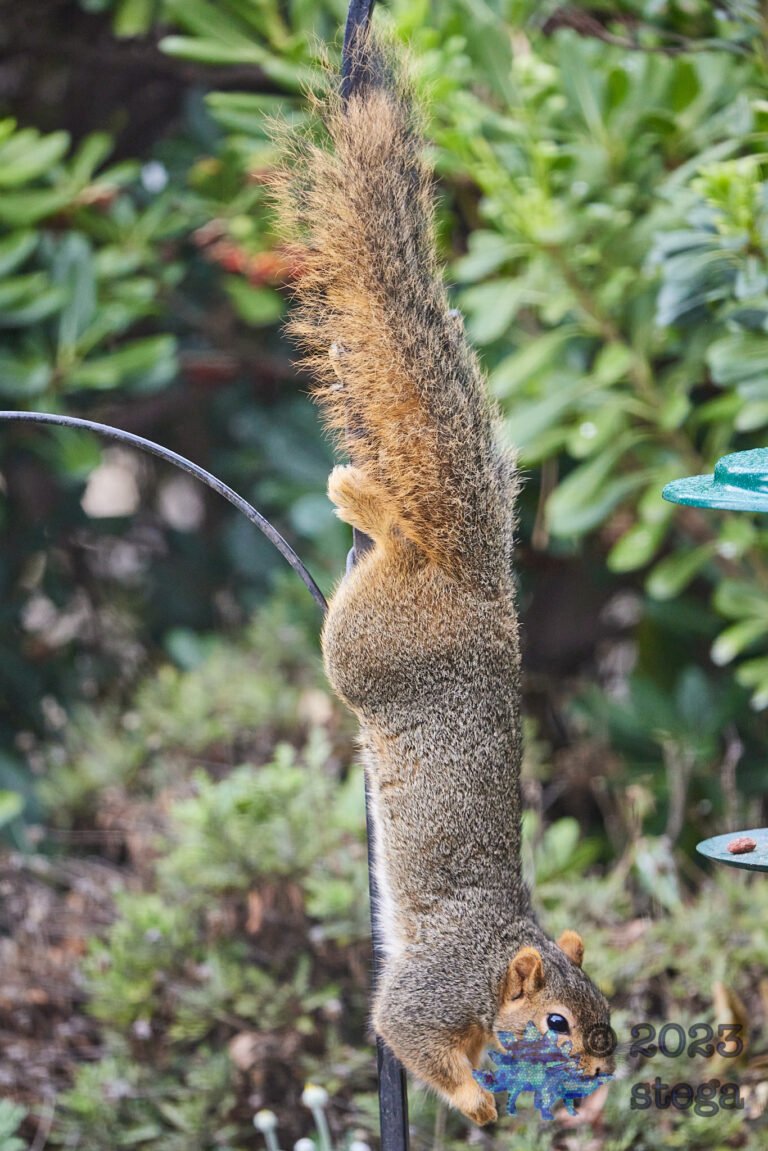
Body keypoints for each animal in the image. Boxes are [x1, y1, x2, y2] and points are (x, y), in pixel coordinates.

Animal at [274, 23, 613, 1127]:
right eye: (557, 1019)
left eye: (607, 1012)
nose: (599, 1074)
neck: (505, 951)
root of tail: (477, 584)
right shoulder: (436, 986)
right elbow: (404, 1030)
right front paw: (479, 1104)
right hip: (367, 643)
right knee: (387, 569)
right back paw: (371, 509)